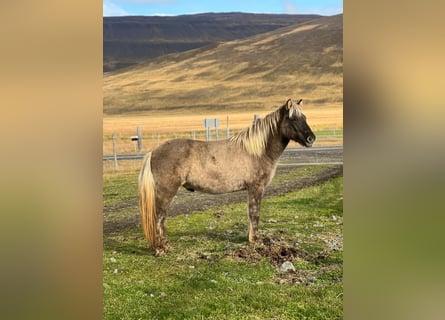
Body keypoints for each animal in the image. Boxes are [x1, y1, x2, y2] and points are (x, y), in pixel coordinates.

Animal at [139, 98, 316, 255]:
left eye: (305, 118)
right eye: (293, 118)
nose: (311, 138)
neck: (258, 151)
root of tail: (153, 152)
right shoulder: (256, 188)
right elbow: (254, 214)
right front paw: (255, 241)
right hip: (166, 193)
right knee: (159, 218)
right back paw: (161, 249)